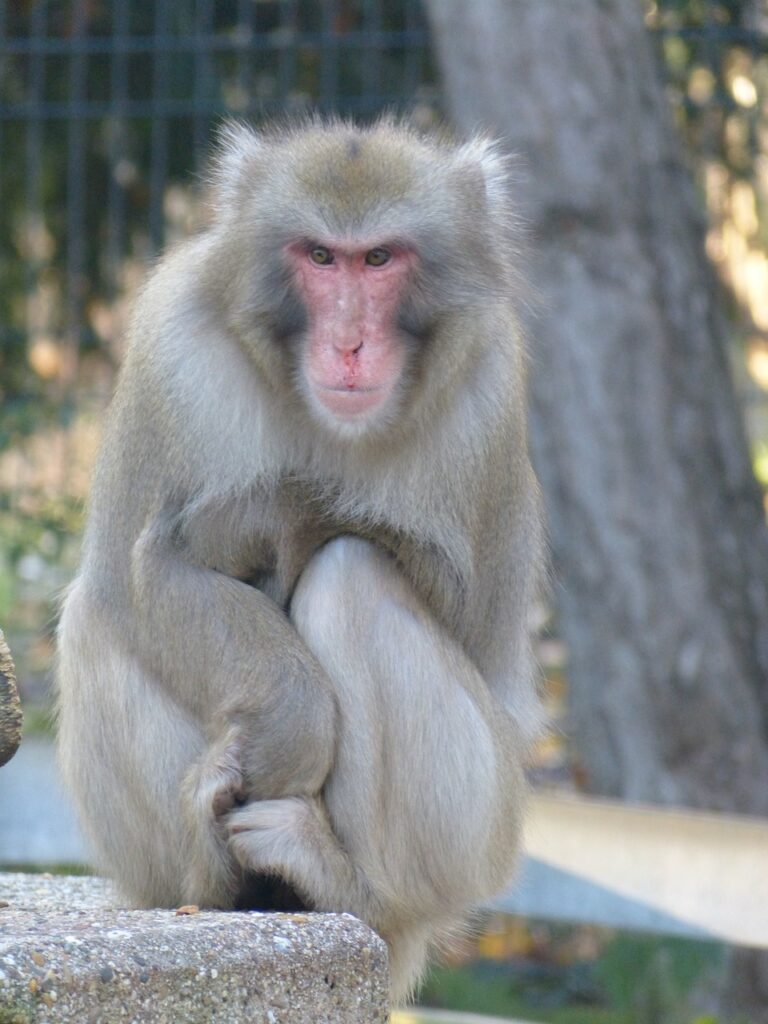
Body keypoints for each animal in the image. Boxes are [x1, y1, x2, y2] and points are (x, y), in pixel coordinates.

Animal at [55, 117, 548, 999]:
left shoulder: (489, 382)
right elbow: (138, 575)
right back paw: (216, 885)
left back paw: (346, 883)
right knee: (93, 614)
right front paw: (289, 723)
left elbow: (468, 610)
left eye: (379, 258)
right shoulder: (168, 349)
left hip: (480, 833)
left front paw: (292, 511)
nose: (349, 344)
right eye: (320, 256)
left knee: (352, 576)